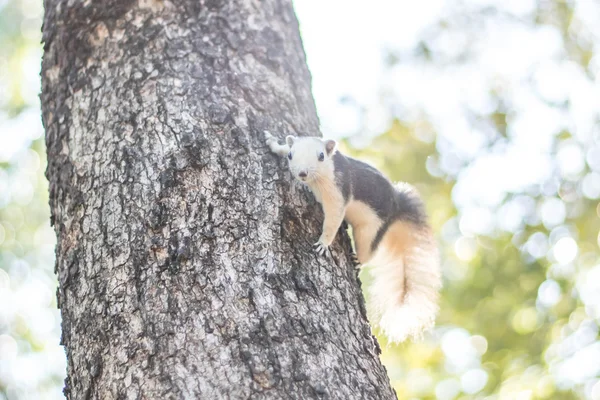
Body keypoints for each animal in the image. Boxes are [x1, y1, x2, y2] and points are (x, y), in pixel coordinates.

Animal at [264, 132, 442, 344]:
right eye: (291, 155)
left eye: (321, 156)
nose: (302, 173)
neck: (321, 177)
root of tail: (397, 206)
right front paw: (273, 143)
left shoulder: (338, 193)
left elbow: (333, 220)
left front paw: (323, 244)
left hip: (371, 230)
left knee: (368, 251)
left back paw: (358, 261)